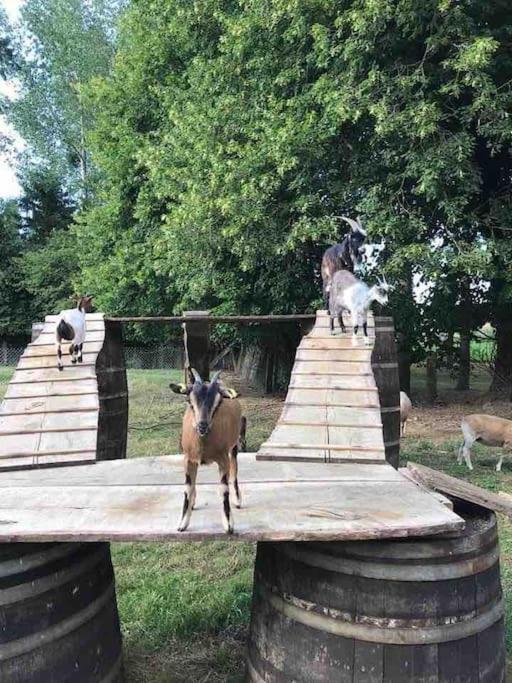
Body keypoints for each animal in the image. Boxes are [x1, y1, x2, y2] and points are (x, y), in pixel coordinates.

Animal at [171, 368, 243, 536]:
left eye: (219, 403)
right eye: (189, 400)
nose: (202, 426)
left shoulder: (223, 459)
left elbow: (224, 489)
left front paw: (228, 525)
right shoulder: (188, 459)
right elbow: (187, 488)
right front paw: (182, 523)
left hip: (234, 446)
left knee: (234, 469)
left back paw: (237, 500)